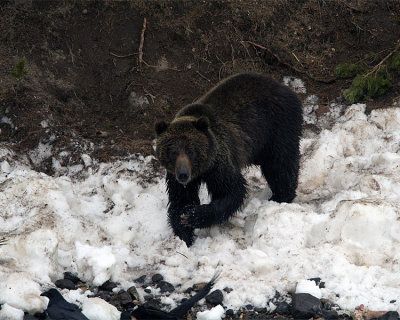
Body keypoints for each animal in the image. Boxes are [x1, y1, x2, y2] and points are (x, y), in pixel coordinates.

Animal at [155, 73, 302, 248]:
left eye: (191, 151)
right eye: (172, 151)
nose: (183, 174)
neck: (202, 170)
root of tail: (283, 86)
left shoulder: (220, 162)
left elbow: (232, 191)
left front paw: (194, 216)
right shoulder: (175, 177)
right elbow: (180, 200)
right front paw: (185, 235)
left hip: (277, 125)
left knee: (280, 163)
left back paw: (280, 197)